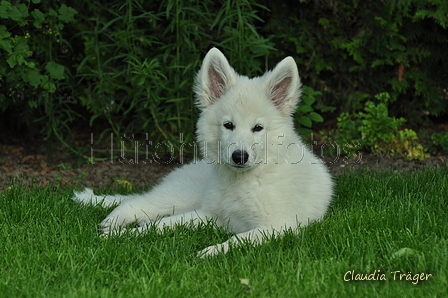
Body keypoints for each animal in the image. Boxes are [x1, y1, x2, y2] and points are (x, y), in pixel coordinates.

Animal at [73, 47, 332, 258]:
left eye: (258, 128)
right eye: (228, 125)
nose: (239, 156)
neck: (245, 180)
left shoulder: (277, 226)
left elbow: (239, 238)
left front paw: (211, 251)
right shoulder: (210, 214)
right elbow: (164, 225)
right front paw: (120, 237)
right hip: (183, 196)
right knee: (138, 202)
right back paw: (112, 223)